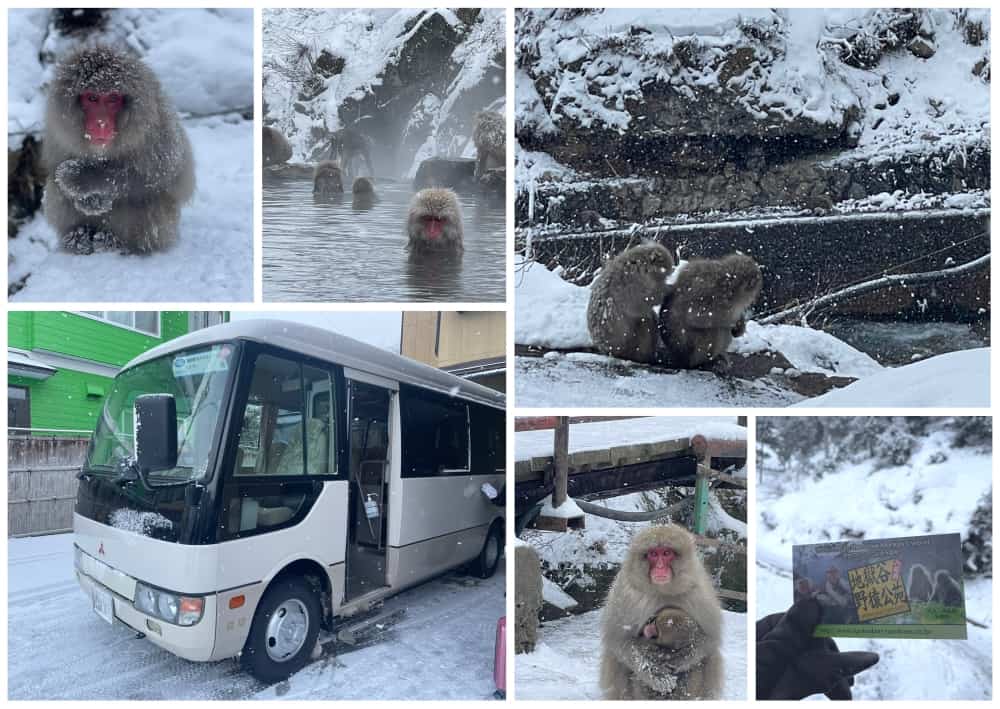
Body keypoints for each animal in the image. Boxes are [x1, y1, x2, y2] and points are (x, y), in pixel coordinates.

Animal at [43, 45, 195, 254]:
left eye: (113, 98)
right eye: (92, 98)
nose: (101, 124)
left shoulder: (159, 128)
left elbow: (168, 175)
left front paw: (84, 178)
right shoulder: (58, 132)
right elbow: (54, 172)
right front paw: (87, 199)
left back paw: (114, 242)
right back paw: (80, 236)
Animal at [596, 524, 724, 700]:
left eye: (666, 553)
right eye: (653, 554)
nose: (660, 567)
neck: (663, 590)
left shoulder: (700, 593)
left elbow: (710, 639)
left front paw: (680, 660)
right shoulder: (625, 595)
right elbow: (618, 641)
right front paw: (656, 675)